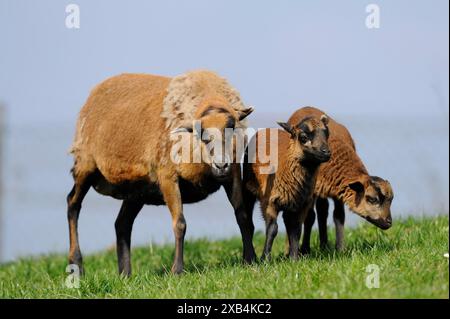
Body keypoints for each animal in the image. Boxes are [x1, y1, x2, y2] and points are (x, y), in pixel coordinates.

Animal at [68, 70, 255, 278]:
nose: (221, 165)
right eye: (202, 135)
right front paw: (177, 271)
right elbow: (180, 223)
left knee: (122, 223)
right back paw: (77, 265)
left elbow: (242, 215)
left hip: (137, 189)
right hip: (85, 164)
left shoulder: (233, 172)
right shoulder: (167, 176)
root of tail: (94, 93)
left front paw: (250, 259)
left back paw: (125, 274)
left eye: (232, 128)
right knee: (73, 204)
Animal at [244, 112, 332, 260]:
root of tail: (266, 129)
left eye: (327, 134)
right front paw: (265, 259)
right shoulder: (269, 202)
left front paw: (294, 258)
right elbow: (272, 229)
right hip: (249, 188)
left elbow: (296, 229)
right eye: (303, 137)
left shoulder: (301, 204)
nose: (326, 152)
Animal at [288, 107, 394, 255]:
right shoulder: (311, 191)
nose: (389, 222)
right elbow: (309, 217)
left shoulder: (339, 190)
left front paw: (340, 250)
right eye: (372, 199)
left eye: (391, 200)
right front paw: (304, 250)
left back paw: (324, 246)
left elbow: (339, 216)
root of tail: (305, 107)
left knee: (323, 211)